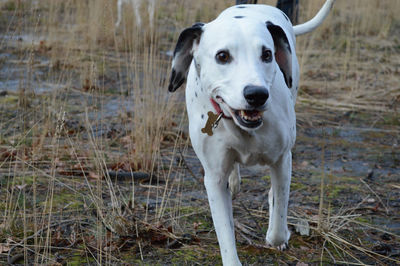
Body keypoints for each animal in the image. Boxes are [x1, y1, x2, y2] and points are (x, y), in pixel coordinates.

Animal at [169, 1, 334, 264]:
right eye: (222, 56)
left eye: (267, 54)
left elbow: (278, 218)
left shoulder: (282, 159)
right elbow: (225, 234)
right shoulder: (213, 178)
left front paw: (278, 234)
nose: (257, 94)